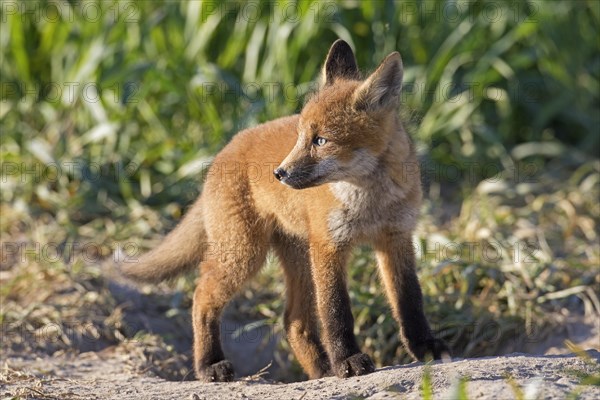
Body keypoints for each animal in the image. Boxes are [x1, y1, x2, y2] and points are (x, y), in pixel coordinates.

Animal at [122, 39, 448, 382]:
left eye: (321, 140)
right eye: (301, 136)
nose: (280, 173)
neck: (371, 201)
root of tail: (226, 148)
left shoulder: (396, 238)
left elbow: (409, 302)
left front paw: (425, 348)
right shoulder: (328, 246)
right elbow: (336, 311)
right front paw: (347, 360)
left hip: (296, 260)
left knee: (293, 322)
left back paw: (320, 371)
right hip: (245, 254)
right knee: (202, 297)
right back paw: (209, 365)